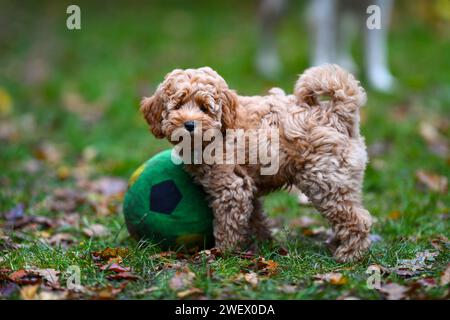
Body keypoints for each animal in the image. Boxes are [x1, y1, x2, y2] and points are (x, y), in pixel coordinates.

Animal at [142, 65, 372, 262]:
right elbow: (255, 218)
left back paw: (350, 254)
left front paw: (221, 252)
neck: (220, 130)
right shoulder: (247, 184)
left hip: (324, 179)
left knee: (357, 218)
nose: (189, 124)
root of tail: (335, 114)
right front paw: (262, 244)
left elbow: (228, 223)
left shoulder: (232, 187)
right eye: (178, 105)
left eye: (204, 108)